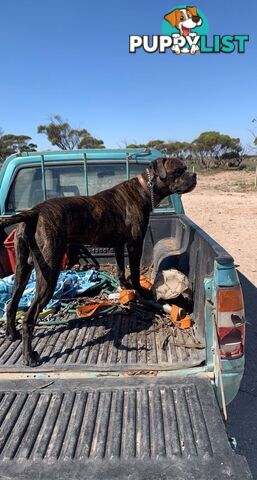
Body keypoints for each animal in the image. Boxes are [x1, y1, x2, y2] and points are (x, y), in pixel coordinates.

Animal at [0, 156, 196, 366]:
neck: (145, 188)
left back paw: (11, 334)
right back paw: (30, 356)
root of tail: (33, 213)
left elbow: (121, 269)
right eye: (178, 171)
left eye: (185, 168)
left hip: (22, 270)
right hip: (48, 275)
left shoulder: (119, 246)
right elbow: (134, 272)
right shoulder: (135, 246)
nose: (194, 175)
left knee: (12, 304)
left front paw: (124, 286)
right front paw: (139, 290)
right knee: (28, 318)